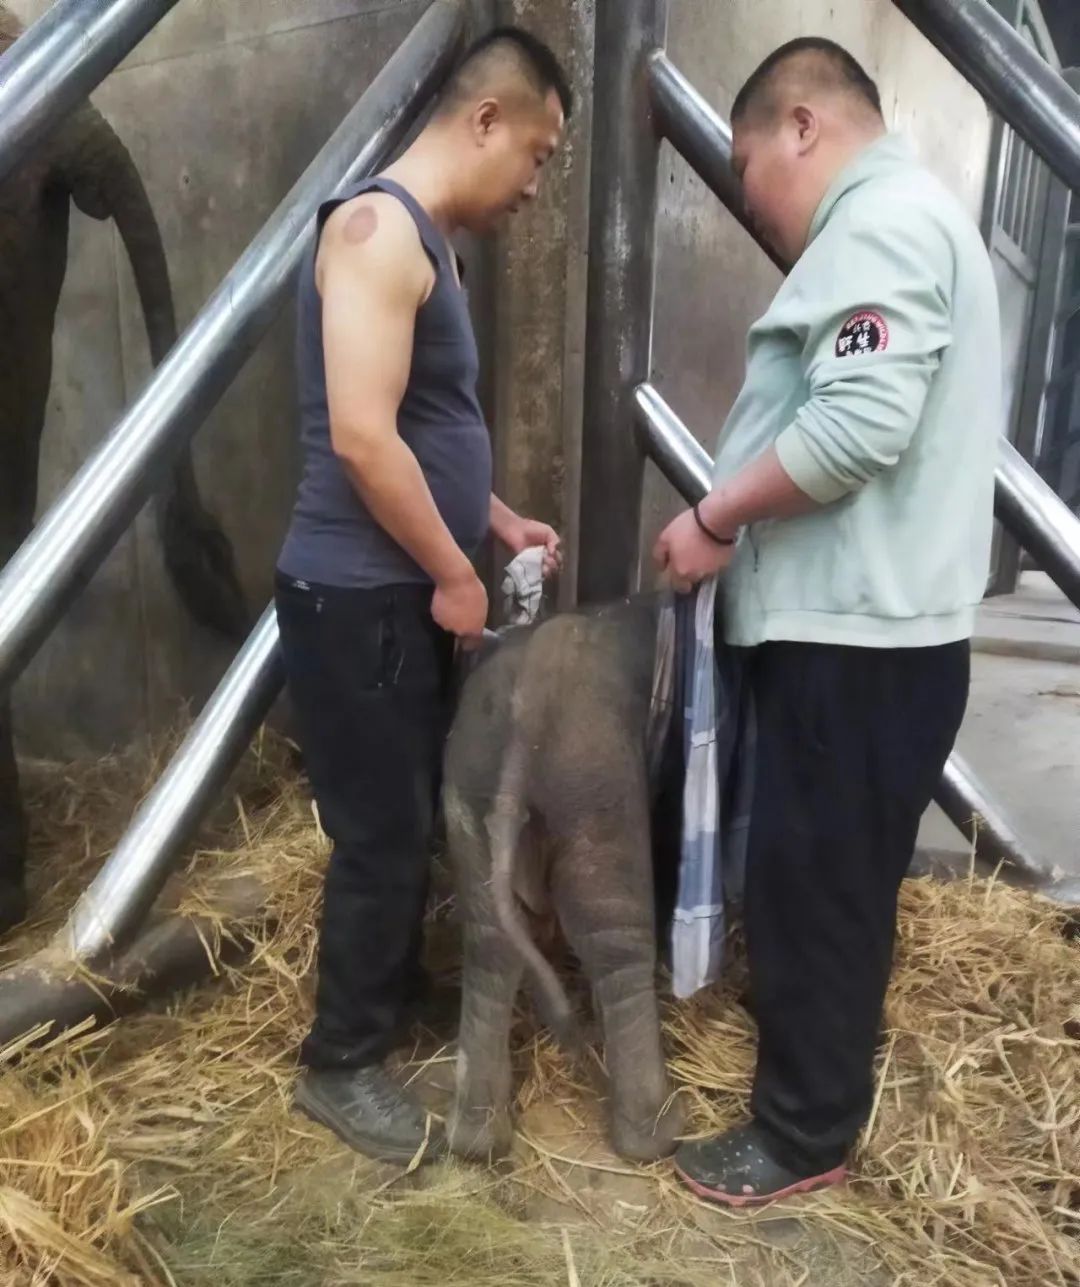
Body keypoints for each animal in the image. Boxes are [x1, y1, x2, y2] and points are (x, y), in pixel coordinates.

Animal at [443, 596, 686, 1163]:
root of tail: (524, 723)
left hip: (467, 784)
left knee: (489, 945)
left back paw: (476, 1141)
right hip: (595, 788)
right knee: (618, 942)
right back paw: (659, 1134)